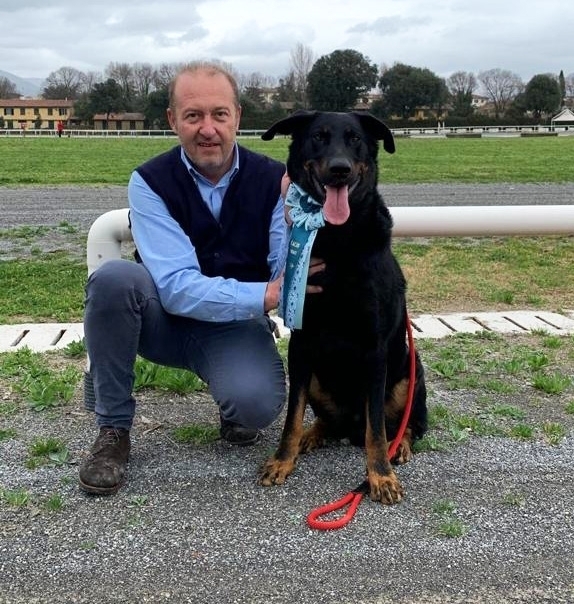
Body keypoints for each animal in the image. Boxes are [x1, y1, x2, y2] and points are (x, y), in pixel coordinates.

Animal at [258, 109, 430, 504]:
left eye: (355, 140)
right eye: (318, 137)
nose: (340, 169)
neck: (337, 239)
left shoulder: (375, 349)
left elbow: (377, 430)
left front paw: (380, 475)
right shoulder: (301, 344)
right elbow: (292, 416)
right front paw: (283, 458)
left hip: (409, 375)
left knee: (404, 425)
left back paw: (400, 447)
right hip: (317, 378)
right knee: (326, 420)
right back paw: (311, 436)